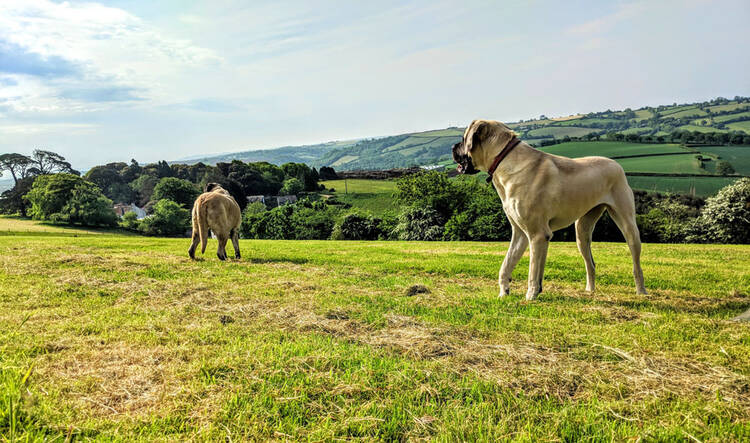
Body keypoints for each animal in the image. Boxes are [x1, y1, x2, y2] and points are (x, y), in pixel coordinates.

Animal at [452, 120, 648, 302]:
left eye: (463, 138)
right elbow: (506, 264)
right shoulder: (520, 233)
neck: (504, 159)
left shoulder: (538, 234)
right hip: (582, 232)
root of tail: (616, 164)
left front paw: (530, 295)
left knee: (636, 263)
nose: (453, 147)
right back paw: (589, 291)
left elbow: (532, 270)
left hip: (628, 226)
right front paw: (504, 292)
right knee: (590, 263)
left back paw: (641, 291)